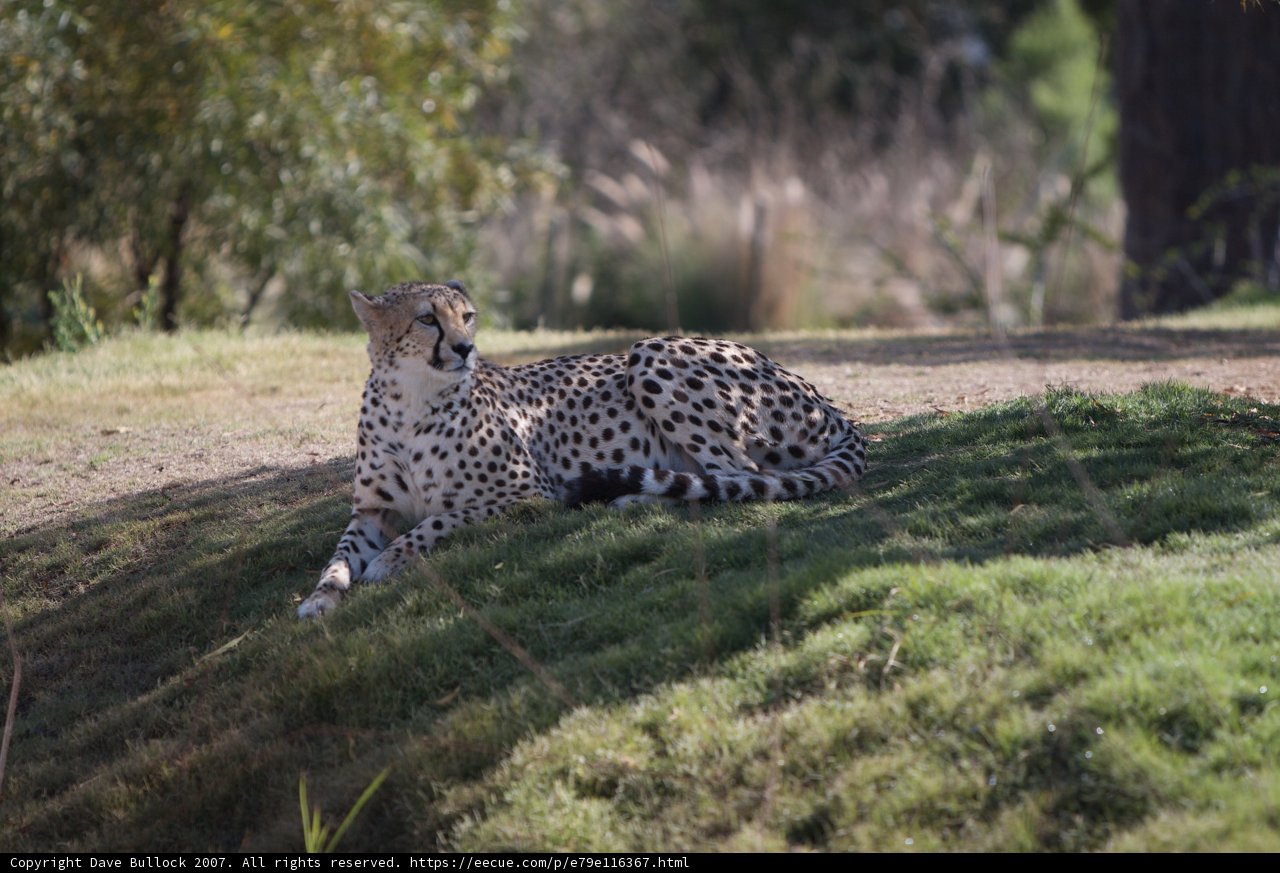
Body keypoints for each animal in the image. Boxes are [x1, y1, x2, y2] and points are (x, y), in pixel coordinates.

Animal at [297, 280, 867, 618]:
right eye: (426, 319)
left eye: (468, 316)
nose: (465, 348)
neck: (411, 399)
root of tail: (824, 399)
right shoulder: (372, 510)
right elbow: (338, 555)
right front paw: (320, 597)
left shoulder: (528, 494)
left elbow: (437, 522)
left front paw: (389, 561)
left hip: (650, 350)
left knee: (740, 475)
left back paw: (632, 497)